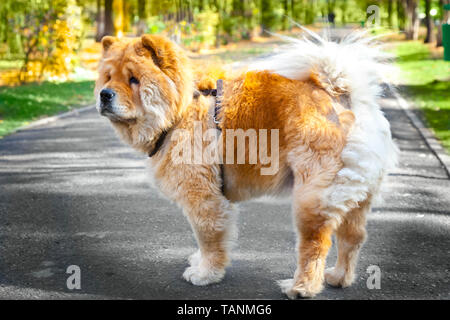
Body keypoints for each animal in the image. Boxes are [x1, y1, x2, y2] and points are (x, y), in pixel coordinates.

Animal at [95, 30, 398, 298]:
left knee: (315, 244)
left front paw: (205, 273)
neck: (179, 111)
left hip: (312, 197)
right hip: (356, 195)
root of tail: (342, 96)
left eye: (134, 80)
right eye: (107, 77)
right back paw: (338, 277)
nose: (104, 94)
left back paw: (301, 288)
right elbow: (205, 241)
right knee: (353, 238)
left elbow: (208, 239)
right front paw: (199, 263)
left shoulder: (203, 197)